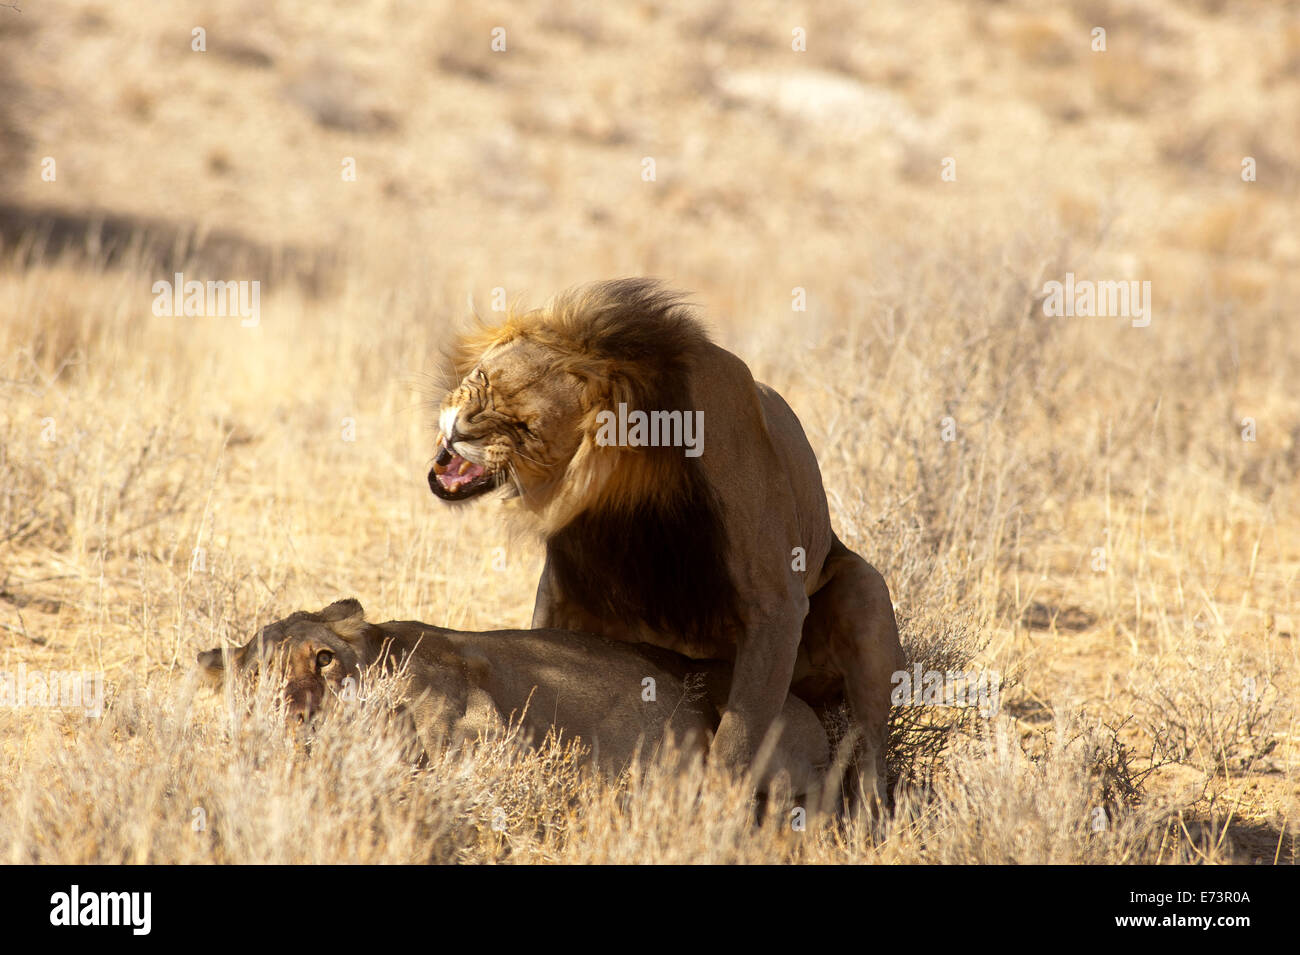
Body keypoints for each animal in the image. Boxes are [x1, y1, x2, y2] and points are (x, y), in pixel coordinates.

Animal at [428, 278, 905, 802]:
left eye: (526, 428)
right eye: (481, 378)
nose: (459, 427)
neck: (624, 488)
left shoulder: (776, 605)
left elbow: (738, 735)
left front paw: (713, 809)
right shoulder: (564, 588)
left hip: (864, 591)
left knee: (868, 753)